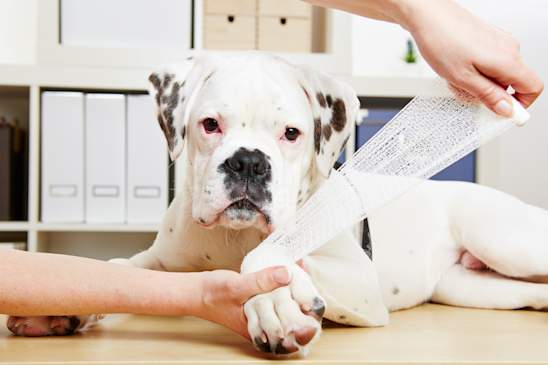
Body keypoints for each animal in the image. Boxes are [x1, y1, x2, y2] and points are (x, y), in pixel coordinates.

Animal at [7, 53, 548, 356]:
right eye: (210, 125)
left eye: (291, 134)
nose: (248, 162)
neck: (233, 235)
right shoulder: (157, 265)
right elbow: (115, 268)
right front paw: (63, 308)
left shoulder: (362, 286)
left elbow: (262, 259)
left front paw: (273, 307)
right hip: (471, 287)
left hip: (501, 240)